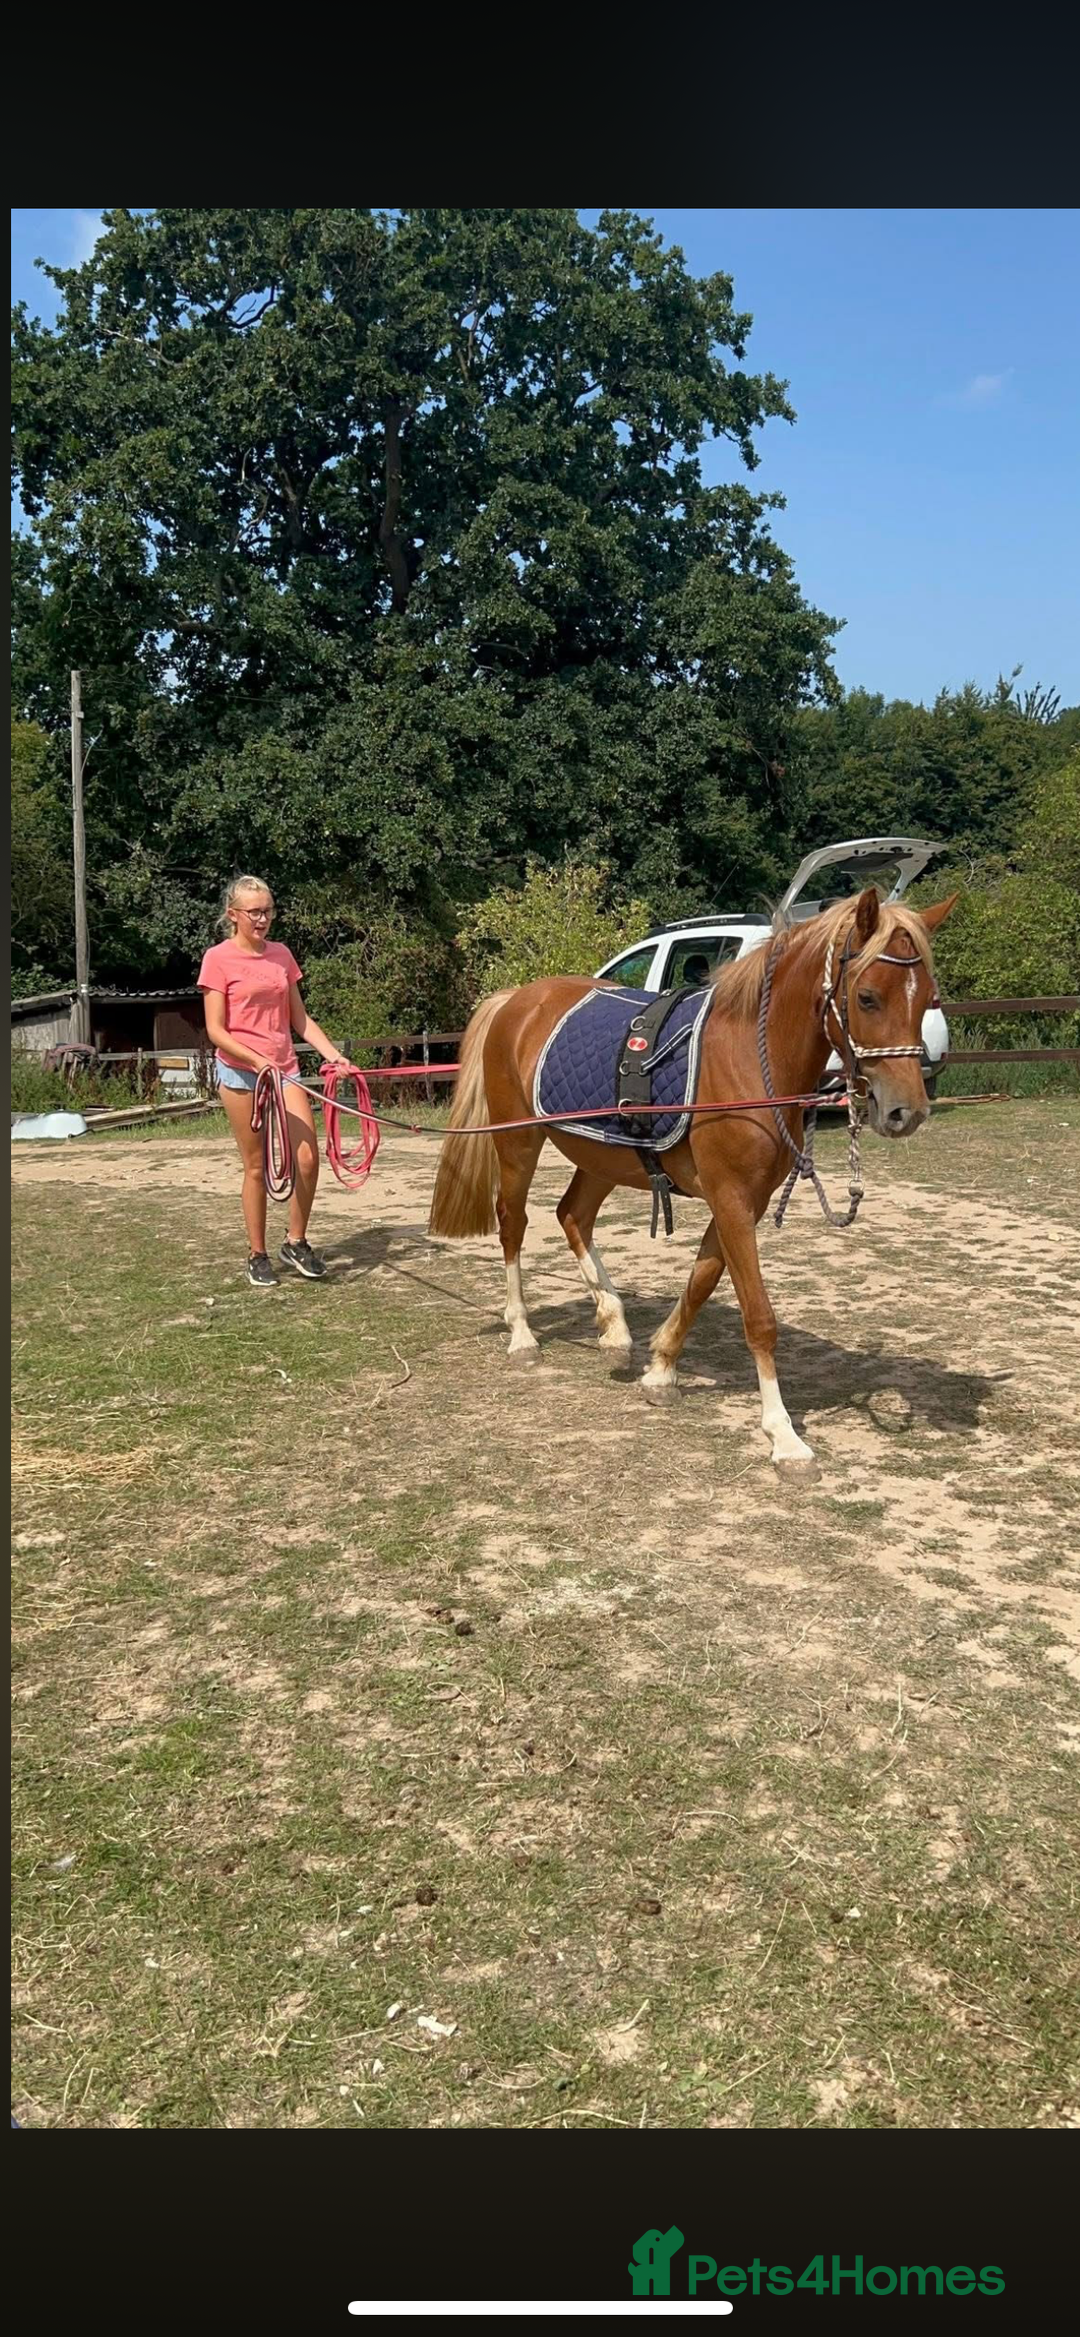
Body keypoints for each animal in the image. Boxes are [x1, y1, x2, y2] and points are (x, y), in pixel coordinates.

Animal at [428, 887, 957, 1473]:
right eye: (866, 998)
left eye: (927, 998)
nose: (906, 1112)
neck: (749, 1057)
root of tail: (516, 1000)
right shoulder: (730, 1199)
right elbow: (759, 1316)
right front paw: (784, 1436)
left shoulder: (744, 1202)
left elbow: (701, 1281)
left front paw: (661, 1370)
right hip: (519, 1145)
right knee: (513, 1225)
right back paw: (522, 1334)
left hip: (603, 1157)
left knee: (572, 1216)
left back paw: (614, 1328)